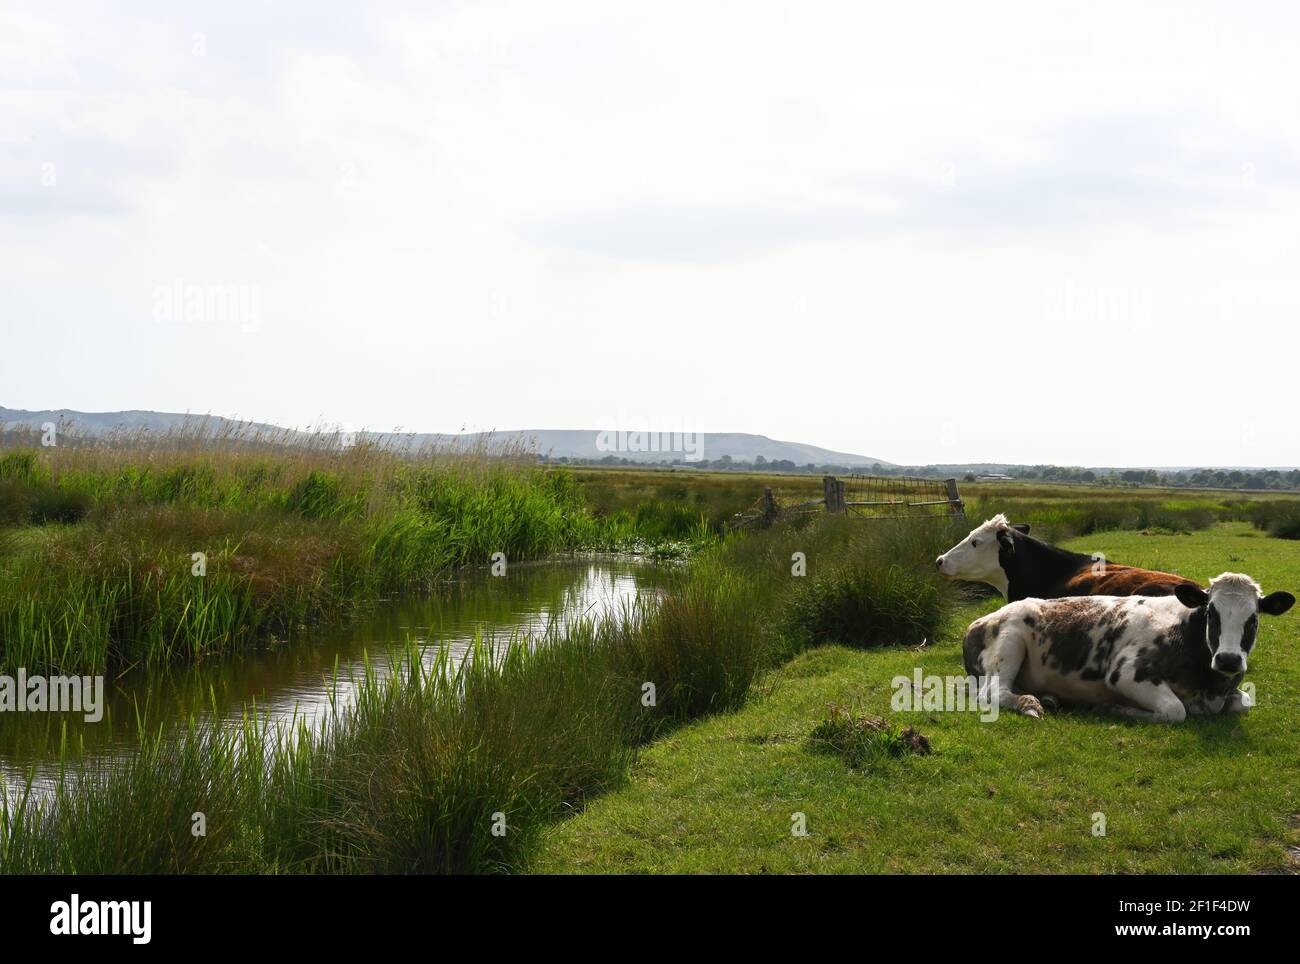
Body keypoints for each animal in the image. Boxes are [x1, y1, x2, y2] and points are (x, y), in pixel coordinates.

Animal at [962, 573, 1295, 721]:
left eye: (1254, 618)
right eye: (1211, 612)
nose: (1228, 659)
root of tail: (978, 621)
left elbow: (1244, 702)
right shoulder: (1126, 673)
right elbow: (1175, 710)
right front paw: (1113, 707)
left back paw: (1049, 698)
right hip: (1009, 642)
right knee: (993, 692)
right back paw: (1029, 703)